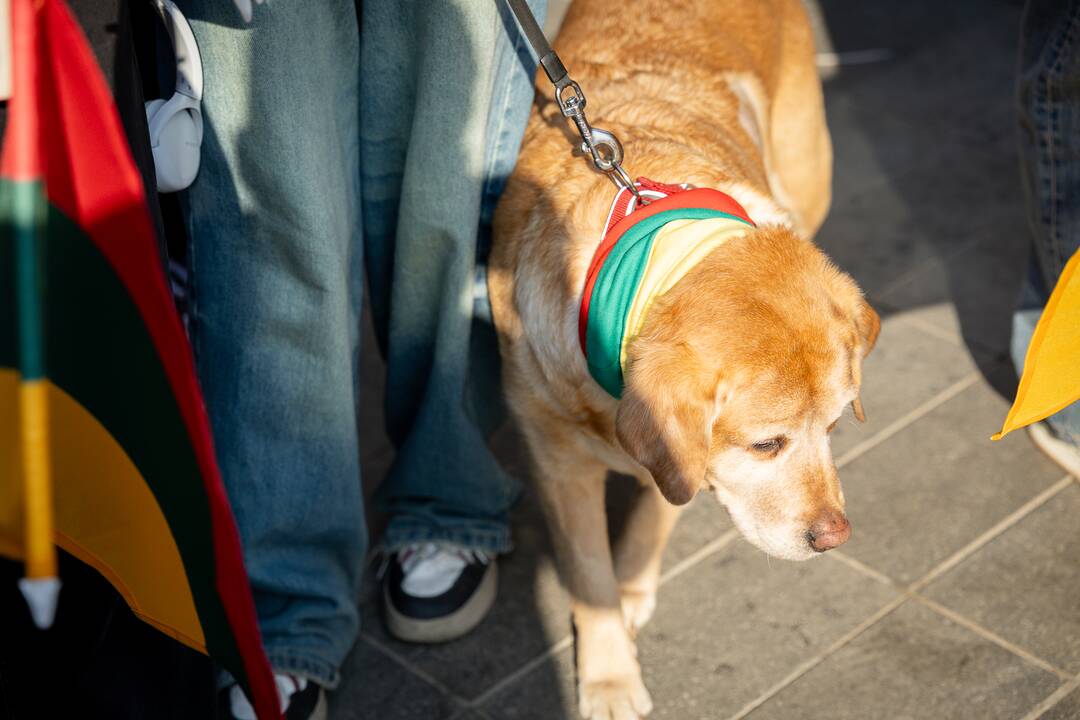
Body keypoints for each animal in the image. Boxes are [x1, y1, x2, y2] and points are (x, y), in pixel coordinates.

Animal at [490, 2, 876, 716]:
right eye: (766, 445)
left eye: (835, 427)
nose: (834, 537)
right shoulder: (556, 457)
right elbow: (588, 576)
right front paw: (610, 676)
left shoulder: (672, 457)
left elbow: (658, 507)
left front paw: (634, 586)